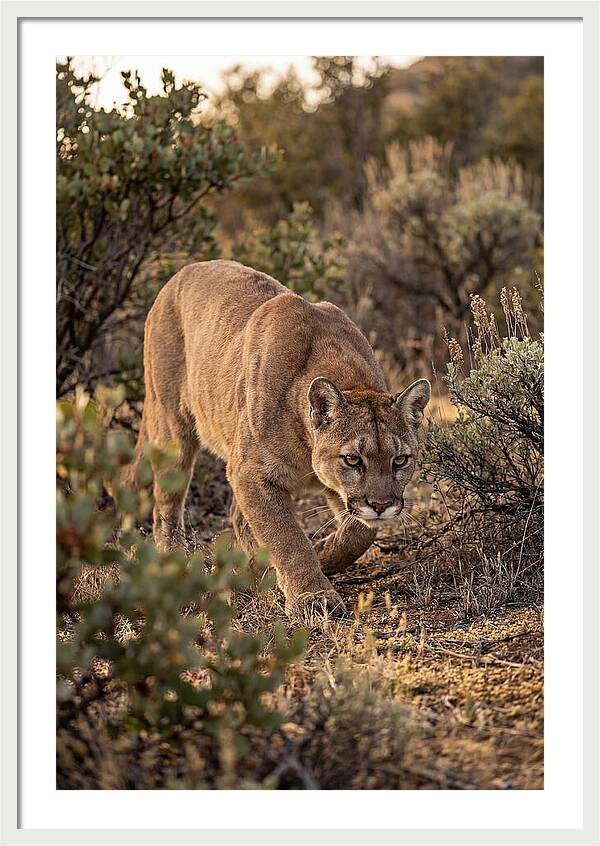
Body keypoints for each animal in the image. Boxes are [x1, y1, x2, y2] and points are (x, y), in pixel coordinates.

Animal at [124, 260, 430, 620]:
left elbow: (360, 532)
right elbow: (286, 536)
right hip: (174, 428)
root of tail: (181, 272)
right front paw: (313, 596)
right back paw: (175, 558)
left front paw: (324, 553)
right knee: (167, 504)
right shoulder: (253, 472)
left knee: (236, 515)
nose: (381, 505)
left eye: (400, 460)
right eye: (353, 459)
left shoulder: (327, 487)